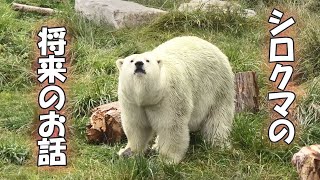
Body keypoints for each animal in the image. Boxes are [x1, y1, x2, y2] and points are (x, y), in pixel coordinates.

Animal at [115, 35, 235, 164]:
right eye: (131, 60)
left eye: (147, 60)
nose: (139, 64)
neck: (149, 97)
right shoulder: (131, 101)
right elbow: (137, 126)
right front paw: (127, 152)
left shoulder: (170, 97)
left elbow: (171, 126)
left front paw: (167, 159)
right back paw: (156, 146)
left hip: (218, 86)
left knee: (218, 118)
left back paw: (219, 144)